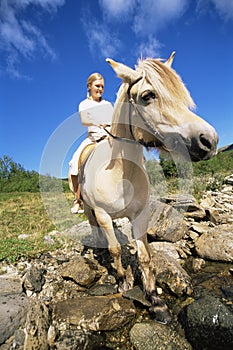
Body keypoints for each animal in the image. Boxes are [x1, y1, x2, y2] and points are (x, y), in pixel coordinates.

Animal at [69, 53, 218, 324]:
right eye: (148, 95)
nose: (209, 141)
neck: (119, 173)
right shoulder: (103, 215)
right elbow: (116, 249)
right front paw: (122, 281)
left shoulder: (139, 215)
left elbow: (145, 256)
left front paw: (155, 300)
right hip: (88, 210)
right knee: (96, 231)